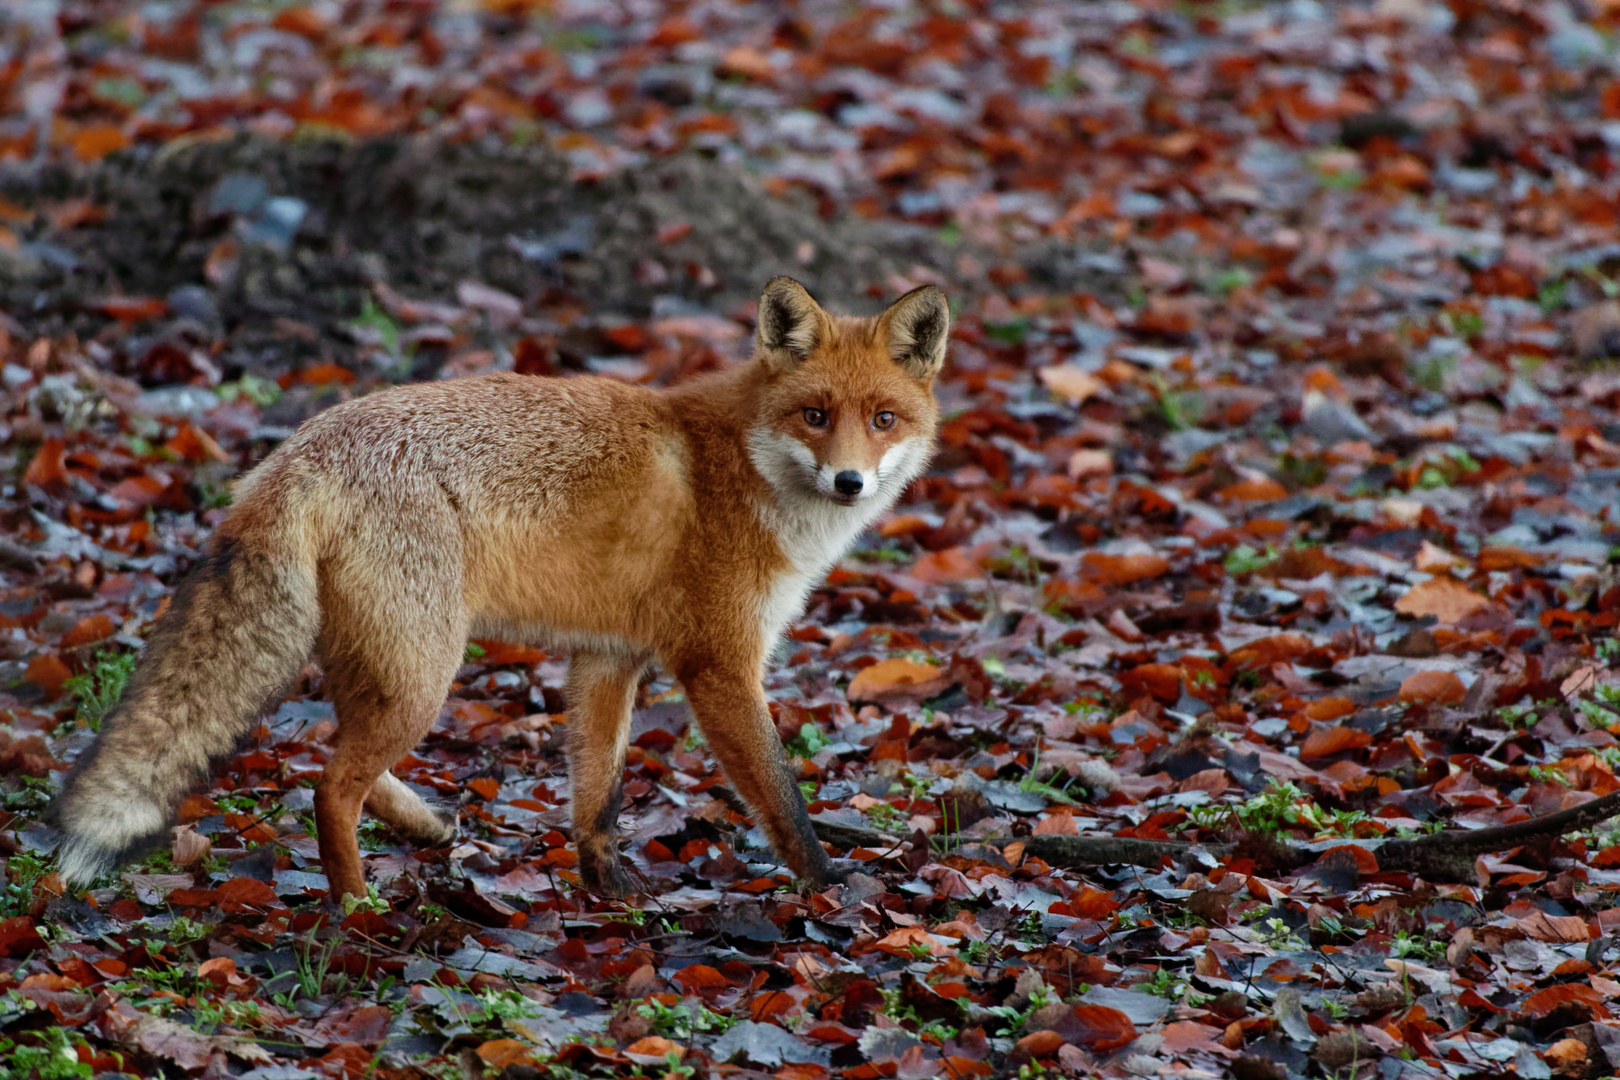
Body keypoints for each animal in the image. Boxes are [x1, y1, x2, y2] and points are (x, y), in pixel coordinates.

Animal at [53, 281, 946, 906]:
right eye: (816, 415)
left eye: (884, 418)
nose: (850, 481)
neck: (742, 469)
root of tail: (294, 452)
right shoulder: (719, 666)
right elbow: (782, 797)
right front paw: (830, 888)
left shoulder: (609, 659)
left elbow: (599, 792)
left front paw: (608, 887)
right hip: (428, 669)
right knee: (328, 783)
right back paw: (356, 904)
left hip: (382, 660)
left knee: (329, 751)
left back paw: (421, 826)